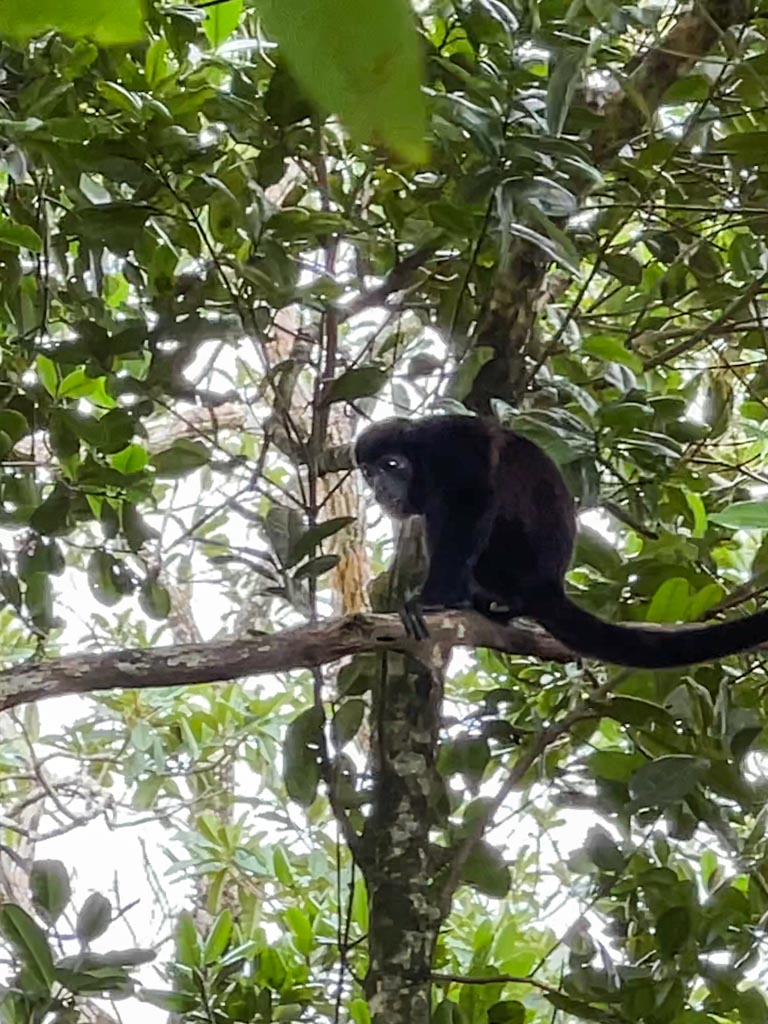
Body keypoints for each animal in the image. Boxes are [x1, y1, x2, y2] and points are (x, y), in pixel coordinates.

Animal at [354, 414, 768, 668]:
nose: (378, 489)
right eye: (369, 473)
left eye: (391, 466)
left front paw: (433, 601)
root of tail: (548, 584)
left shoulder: (450, 446)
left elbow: (473, 499)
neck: (420, 458)